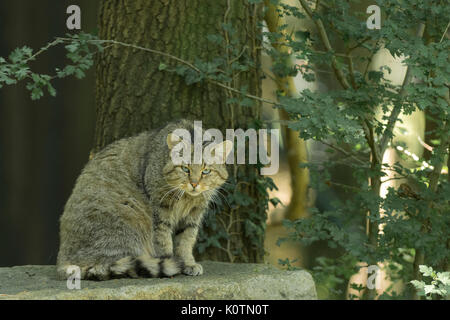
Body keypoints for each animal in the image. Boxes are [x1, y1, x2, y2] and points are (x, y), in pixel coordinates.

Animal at [57, 120, 232, 280]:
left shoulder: (194, 214)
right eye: (185, 168)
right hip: (128, 222)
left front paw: (187, 262)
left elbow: (186, 240)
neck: (186, 197)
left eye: (206, 171)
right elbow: (163, 240)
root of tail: (63, 260)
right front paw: (171, 261)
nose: (194, 184)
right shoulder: (160, 211)